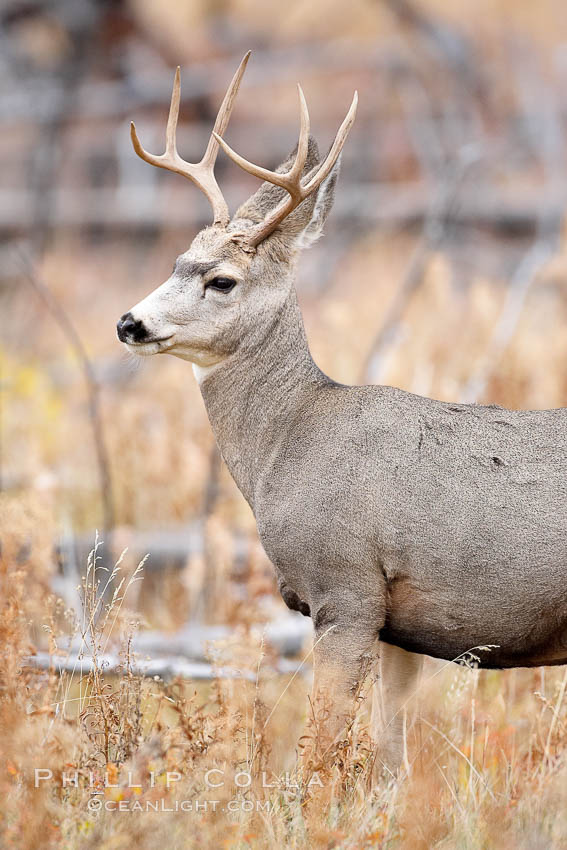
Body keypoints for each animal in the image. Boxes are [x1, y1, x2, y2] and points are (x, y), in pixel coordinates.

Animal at [118, 51, 567, 768]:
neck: (292, 442)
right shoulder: (399, 625)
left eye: (222, 280)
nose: (129, 323)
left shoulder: (346, 587)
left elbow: (321, 750)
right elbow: (390, 757)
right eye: (176, 259)